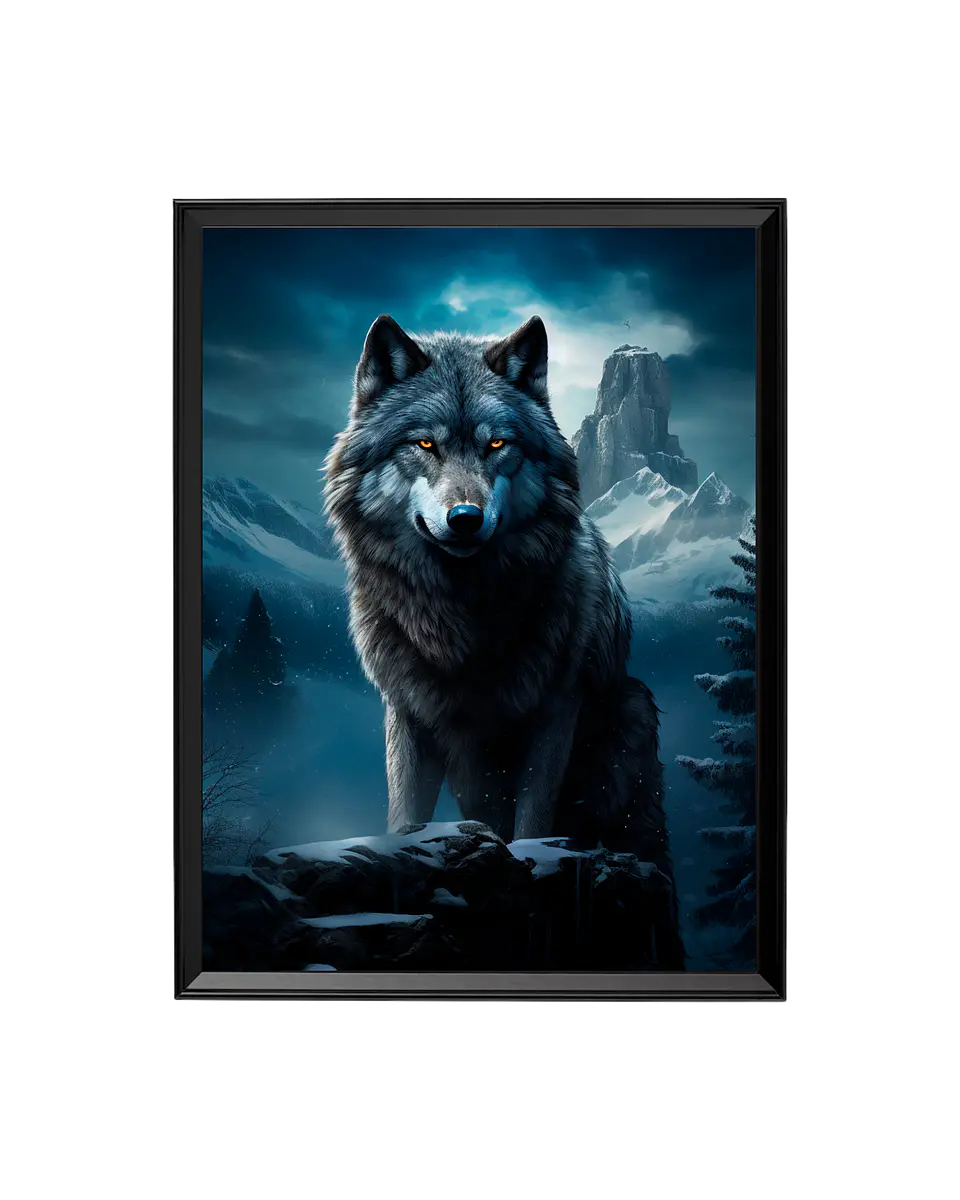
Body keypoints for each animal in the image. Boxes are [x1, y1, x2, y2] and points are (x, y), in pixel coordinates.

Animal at [324, 314, 681, 954]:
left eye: (498, 445)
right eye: (425, 444)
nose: (465, 518)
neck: (459, 614)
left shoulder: (556, 707)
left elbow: (532, 821)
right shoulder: (405, 710)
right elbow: (404, 817)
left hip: (632, 726)